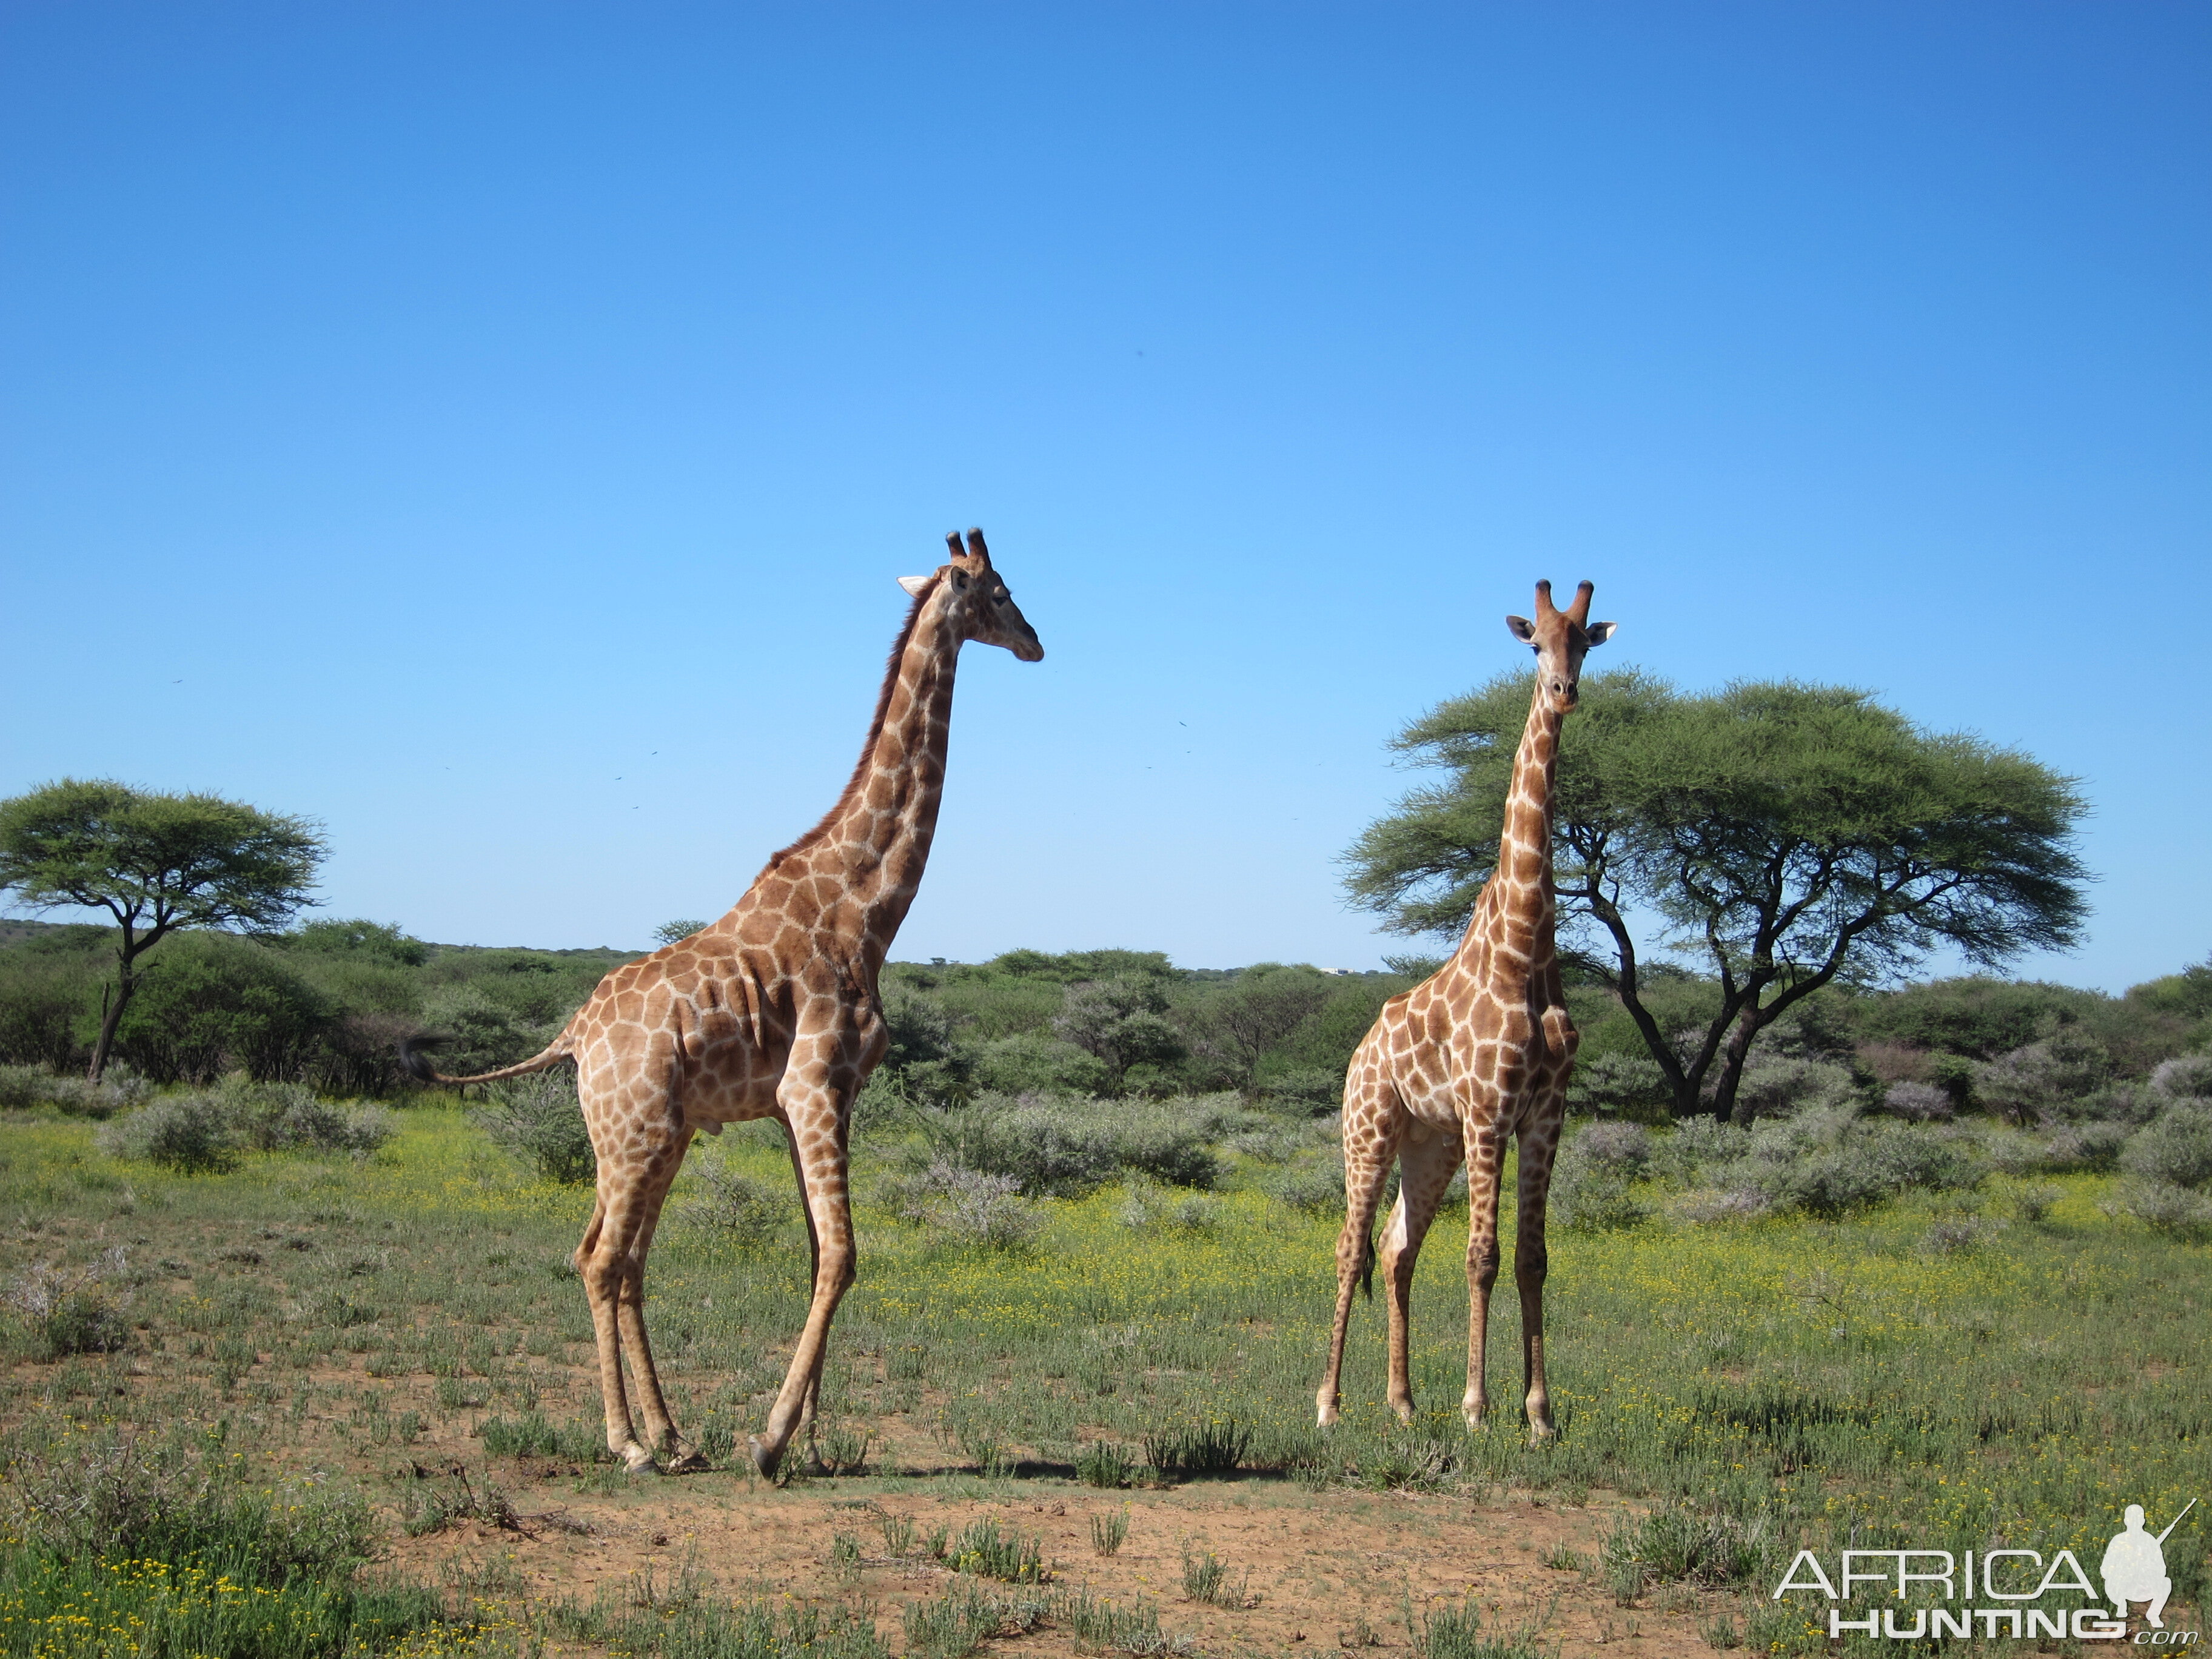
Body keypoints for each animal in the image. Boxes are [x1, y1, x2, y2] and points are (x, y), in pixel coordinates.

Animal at [402, 533, 1039, 1477]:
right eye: (997, 591)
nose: (1037, 643)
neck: (866, 905)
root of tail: (573, 1035)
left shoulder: (823, 1098)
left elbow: (817, 1253)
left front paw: (810, 1442)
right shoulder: (811, 1087)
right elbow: (843, 1255)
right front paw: (770, 1443)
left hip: (648, 1136)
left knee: (613, 1258)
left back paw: (671, 1437)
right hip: (634, 1133)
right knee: (603, 1263)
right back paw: (630, 1443)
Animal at [1309, 579, 1627, 1442]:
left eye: (1584, 642)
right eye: (1534, 644)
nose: (1565, 691)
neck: (1525, 947)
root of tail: (1357, 1051)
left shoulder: (1545, 1112)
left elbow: (1531, 1258)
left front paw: (1539, 1414)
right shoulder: (1491, 1110)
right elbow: (1481, 1257)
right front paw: (1480, 1408)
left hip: (1431, 1143)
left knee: (1396, 1248)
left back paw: (1403, 1401)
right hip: (1371, 1128)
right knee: (1350, 1245)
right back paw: (1328, 1403)